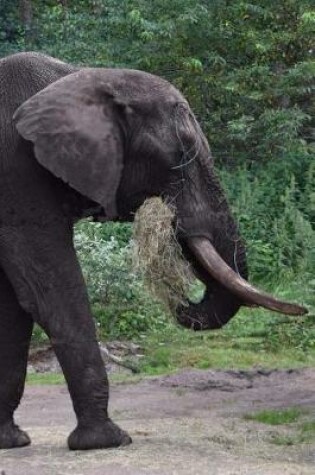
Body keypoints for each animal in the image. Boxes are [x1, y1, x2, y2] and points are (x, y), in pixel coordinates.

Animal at [0, 52, 308, 450]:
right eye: (184, 153)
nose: (181, 297)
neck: (78, 76)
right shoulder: (18, 179)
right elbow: (49, 293)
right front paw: (107, 441)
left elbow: (13, 306)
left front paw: (12, 441)